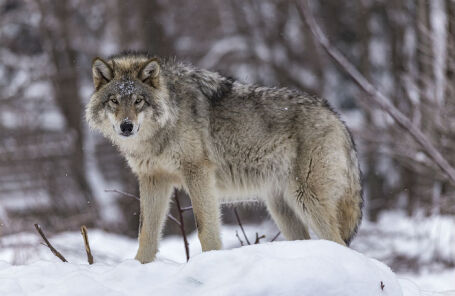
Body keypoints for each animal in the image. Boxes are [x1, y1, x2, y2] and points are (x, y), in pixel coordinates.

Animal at [85, 52, 364, 262]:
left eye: (138, 101)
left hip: (306, 199)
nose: (126, 126)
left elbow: (205, 229)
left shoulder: (197, 172)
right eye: (114, 101)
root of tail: (337, 117)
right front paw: (139, 266)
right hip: (282, 207)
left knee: (338, 242)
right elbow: (146, 234)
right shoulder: (153, 179)